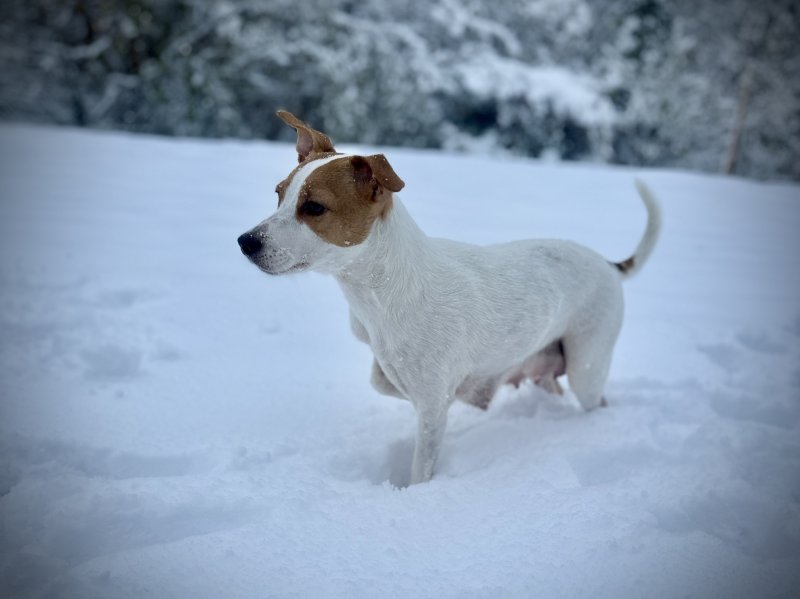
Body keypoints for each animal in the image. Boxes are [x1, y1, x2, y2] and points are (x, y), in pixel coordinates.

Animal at [239, 112, 664, 486]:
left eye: (314, 207)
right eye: (279, 194)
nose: (245, 241)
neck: (383, 290)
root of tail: (608, 264)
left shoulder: (432, 408)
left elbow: (421, 469)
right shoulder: (396, 378)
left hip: (587, 367)